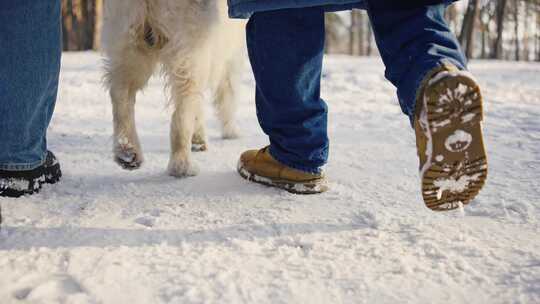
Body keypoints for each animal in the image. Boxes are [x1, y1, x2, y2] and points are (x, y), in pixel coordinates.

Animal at [102, 0, 245, 176]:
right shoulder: (229, 56)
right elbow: (228, 96)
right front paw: (231, 132)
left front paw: (198, 140)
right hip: (189, 50)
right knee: (181, 115)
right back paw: (182, 165)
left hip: (129, 42)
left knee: (120, 95)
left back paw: (127, 152)